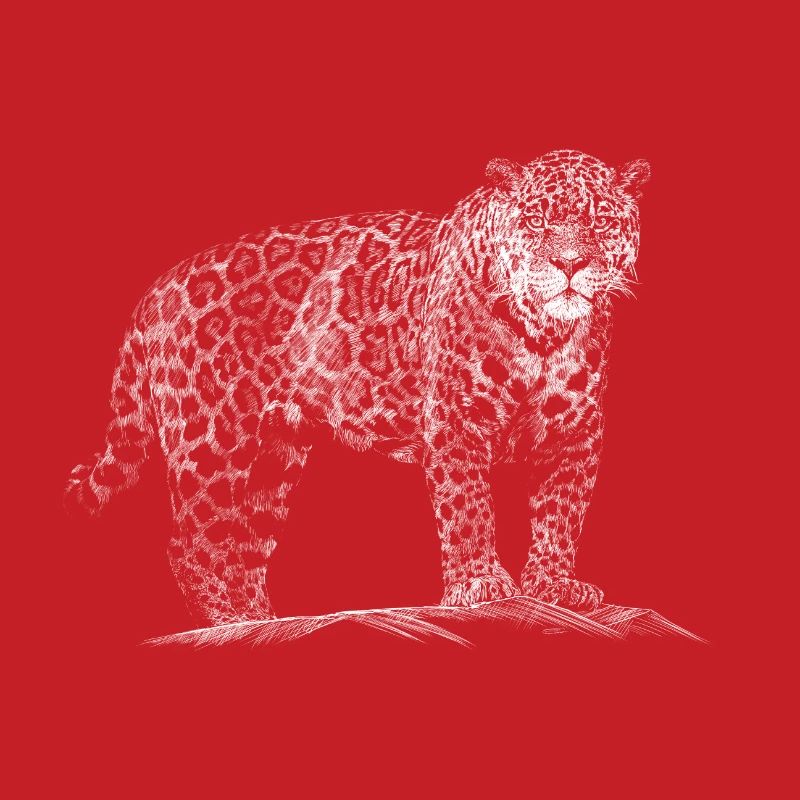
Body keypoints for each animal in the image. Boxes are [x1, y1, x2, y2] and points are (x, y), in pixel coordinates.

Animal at [65, 149, 650, 627]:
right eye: (535, 220)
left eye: (601, 221)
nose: (569, 264)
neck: (545, 334)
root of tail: (154, 290)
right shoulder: (455, 421)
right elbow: (467, 507)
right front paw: (479, 584)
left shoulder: (575, 433)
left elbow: (561, 512)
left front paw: (554, 585)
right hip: (212, 440)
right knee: (192, 544)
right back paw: (230, 623)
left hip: (273, 456)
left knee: (242, 550)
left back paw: (262, 621)